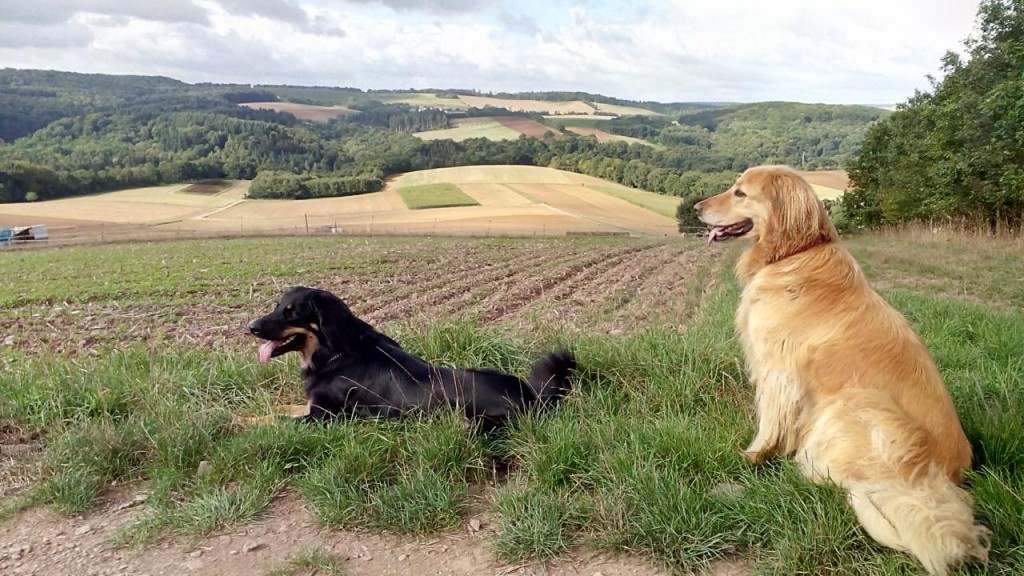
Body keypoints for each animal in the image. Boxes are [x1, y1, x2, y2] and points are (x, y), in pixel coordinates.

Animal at [243, 284, 573, 428]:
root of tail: (533, 397)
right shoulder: (311, 408)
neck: (335, 353)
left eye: (292, 313)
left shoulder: (325, 418)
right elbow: (279, 409)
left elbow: (277, 421)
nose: (251, 327)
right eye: (277, 306)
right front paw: (239, 416)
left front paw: (241, 425)